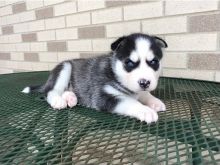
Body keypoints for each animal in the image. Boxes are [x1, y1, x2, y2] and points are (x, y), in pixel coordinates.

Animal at [21, 33, 167, 124]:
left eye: (154, 62)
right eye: (129, 63)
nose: (145, 82)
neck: (114, 72)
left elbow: (144, 94)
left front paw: (155, 102)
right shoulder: (103, 97)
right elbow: (130, 102)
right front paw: (145, 110)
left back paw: (71, 98)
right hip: (65, 67)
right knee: (51, 91)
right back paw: (58, 100)